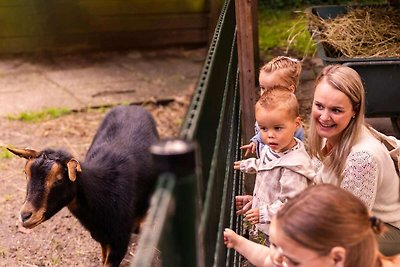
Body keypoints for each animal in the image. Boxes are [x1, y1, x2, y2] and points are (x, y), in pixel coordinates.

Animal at [8, 105, 159, 266]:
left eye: (59, 180)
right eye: (26, 173)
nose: (25, 216)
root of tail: (132, 106)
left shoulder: (119, 243)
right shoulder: (102, 237)